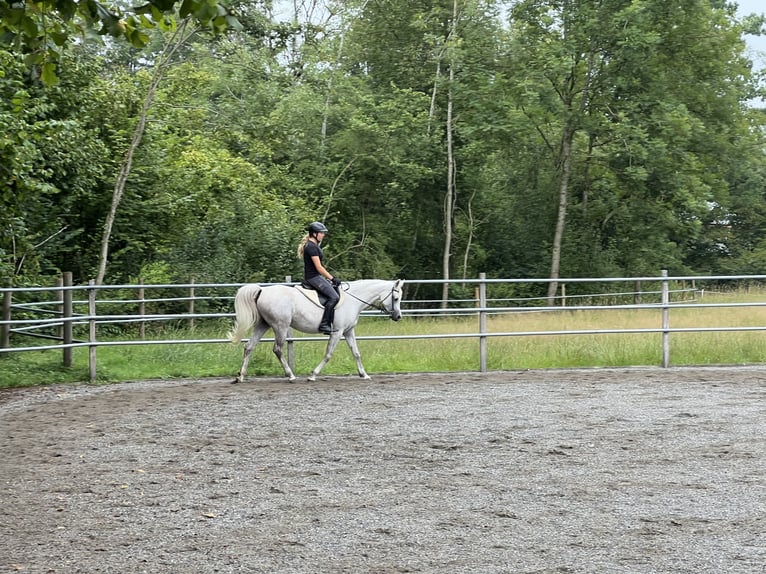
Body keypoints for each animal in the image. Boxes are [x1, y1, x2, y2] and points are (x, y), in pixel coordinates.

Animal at [228, 279, 404, 383]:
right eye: (396, 298)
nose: (398, 316)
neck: (353, 299)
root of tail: (262, 290)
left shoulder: (348, 331)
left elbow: (356, 353)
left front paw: (364, 374)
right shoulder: (338, 332)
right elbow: (328, 354)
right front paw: (313, 375)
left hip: (262, 325)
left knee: (249, 347)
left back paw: (240, 376)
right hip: (281, 326)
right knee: (277, 349)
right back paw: (291, 375)